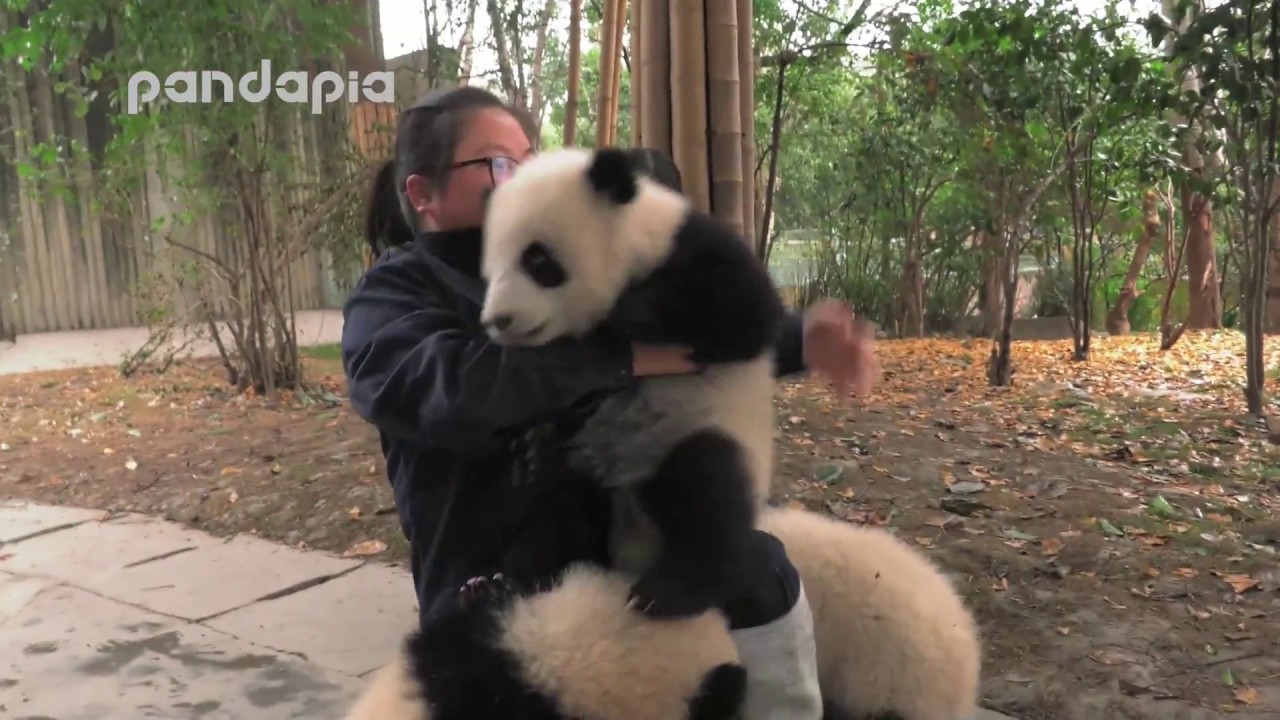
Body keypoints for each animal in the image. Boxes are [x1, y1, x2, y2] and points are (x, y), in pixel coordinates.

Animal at [477, 146, 787, 619]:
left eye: (538, 262)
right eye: (489, 272)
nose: (498, 321)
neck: (634, 240)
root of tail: (632, 549)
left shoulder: (691, 245)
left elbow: (747, 310)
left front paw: (625, 313)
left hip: (694, 433)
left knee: (706, 487)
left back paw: (671, 589)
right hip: (585, 460)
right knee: (556, 505)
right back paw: (503, 582)